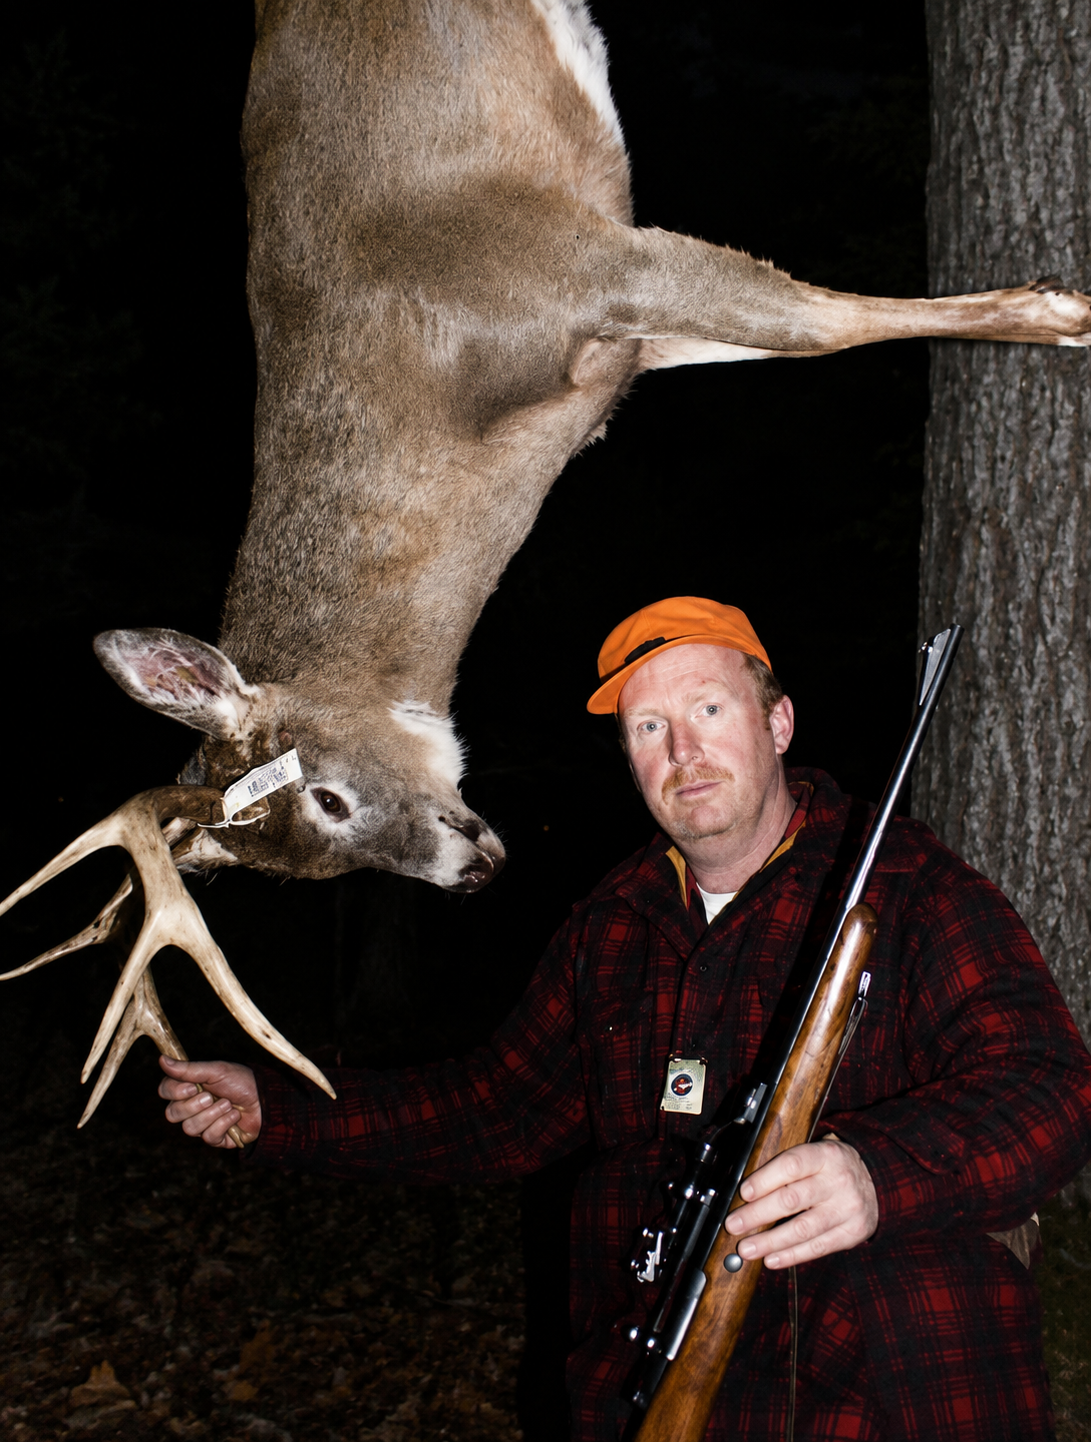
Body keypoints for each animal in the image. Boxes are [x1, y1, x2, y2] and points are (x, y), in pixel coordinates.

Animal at [3, 0, 1088, 1133]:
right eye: (300, 876)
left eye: (329, 800)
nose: (472, 871)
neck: (450, 411)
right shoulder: (622, 336)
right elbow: (795, 332)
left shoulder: (580, 262)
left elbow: (821, 323)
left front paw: (1063, 311)